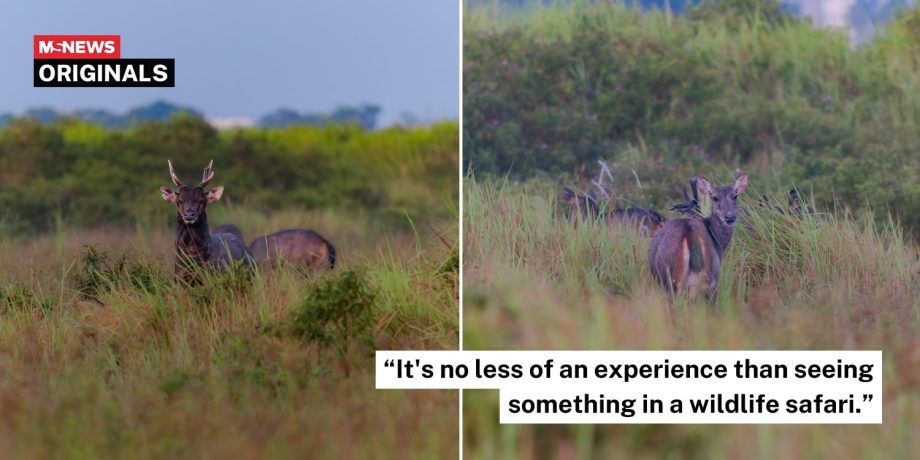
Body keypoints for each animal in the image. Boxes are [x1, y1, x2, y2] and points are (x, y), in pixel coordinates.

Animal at [648, 173, 749, 303]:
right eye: (714, 197)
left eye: (735, 196)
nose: (730, 217)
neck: (719, 242)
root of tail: (688, 233)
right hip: (706, 278)